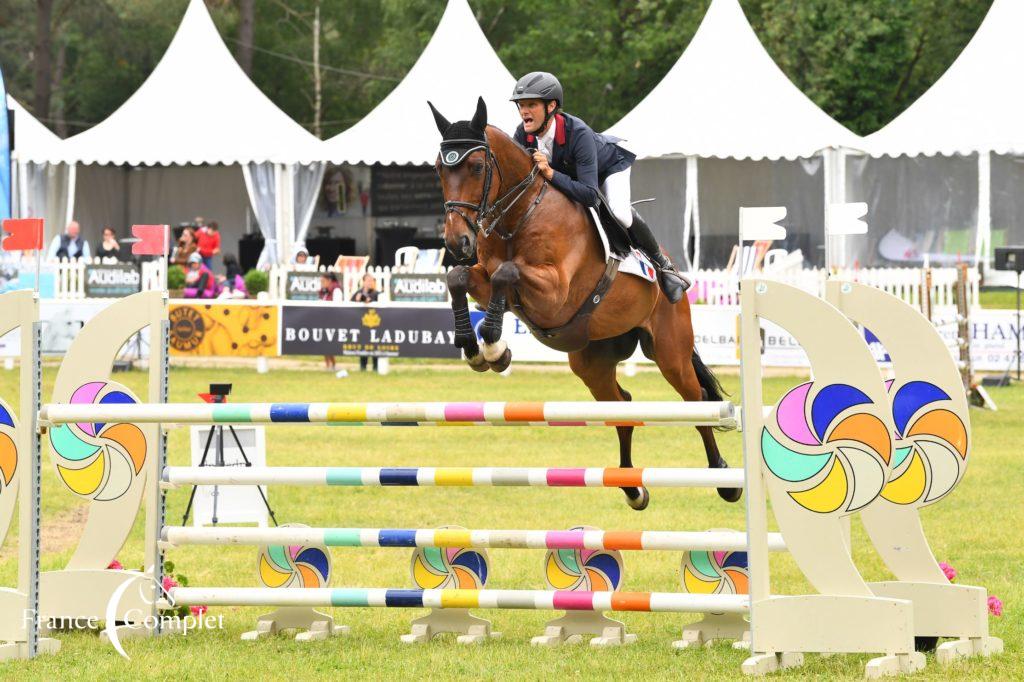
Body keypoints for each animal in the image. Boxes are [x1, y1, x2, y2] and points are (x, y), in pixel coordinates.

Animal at [428, 96, 741, 509]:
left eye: (478, 166)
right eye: (438, 168)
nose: (456, 242)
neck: (519, 213)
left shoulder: (554, 293)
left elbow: (506, 274)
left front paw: (494, 346)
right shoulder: (491, 281)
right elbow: (460, 278)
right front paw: (475, 345)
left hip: (670, 350)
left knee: (697, 399)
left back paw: (725, 478)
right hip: (592, 361)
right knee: (622, 404)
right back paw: (632, 487)